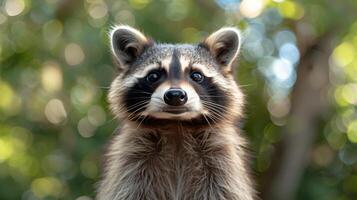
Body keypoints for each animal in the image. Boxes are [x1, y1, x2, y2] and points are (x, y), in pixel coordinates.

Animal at [96, 25, 254, 199]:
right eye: (153, 76)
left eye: (196, 75)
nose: (175, 95)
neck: (176, 125)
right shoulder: (131, 162)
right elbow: (128, 189)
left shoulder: (221, 163)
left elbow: (224, 190)